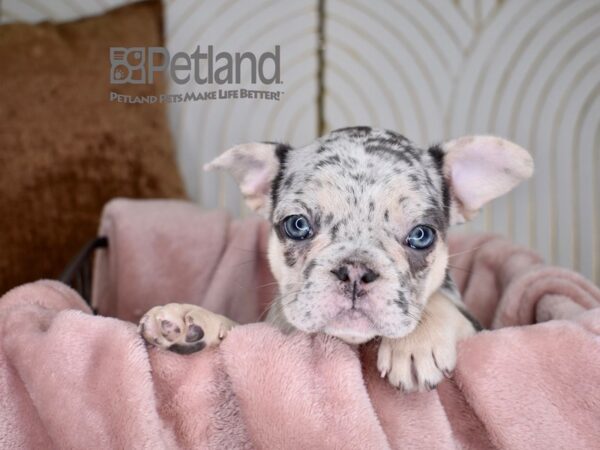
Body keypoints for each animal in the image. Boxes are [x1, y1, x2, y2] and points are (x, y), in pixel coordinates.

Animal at [138, 125, 532, 390]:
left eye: (421, 235)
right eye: (297, 225)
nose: (355, 270)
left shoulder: (477, 323)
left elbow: (439, 304)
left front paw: (416, 343)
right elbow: (237, 329)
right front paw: (191, 320)